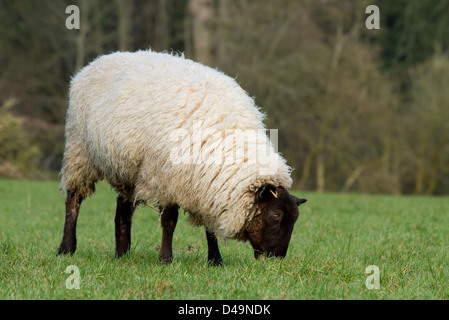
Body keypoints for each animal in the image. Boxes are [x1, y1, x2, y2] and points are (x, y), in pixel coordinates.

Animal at [57, 50, 306, 264]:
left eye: (294, 219)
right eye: (275, 214)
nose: (276, 258)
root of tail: (98, 60)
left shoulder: (206, 185)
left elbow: (209, 226)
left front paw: (215, 260)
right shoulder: (167, 177)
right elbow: (169, 220)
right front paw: (166, 259)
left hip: (128, 168)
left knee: (123, 209)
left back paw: (122, 253)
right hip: (79, 151)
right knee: (73, 200)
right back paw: (66, 248)